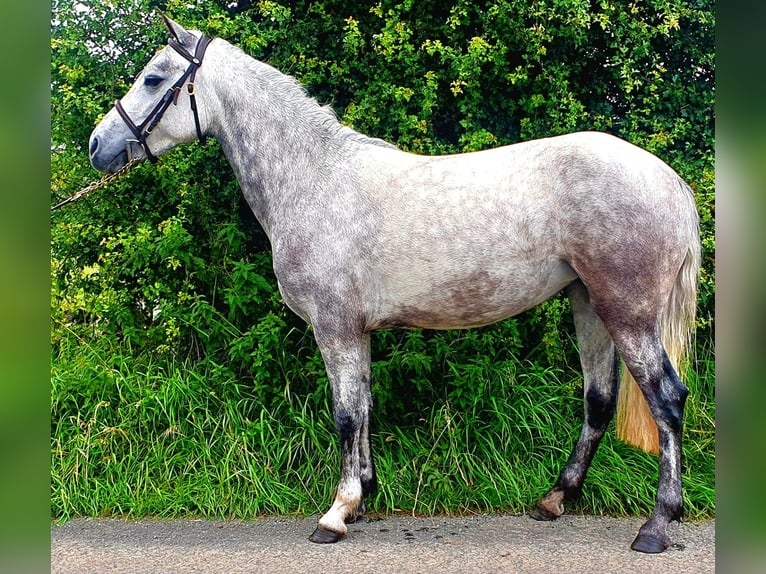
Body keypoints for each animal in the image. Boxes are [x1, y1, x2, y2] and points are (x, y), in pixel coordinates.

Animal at [88, 18, 704, 556]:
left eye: (153, 77)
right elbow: (361, 408)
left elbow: (344, 415)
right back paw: (554, 499)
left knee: (667, 400)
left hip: (627, 313)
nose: (97, 144)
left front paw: (335, 514)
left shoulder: (334, 328)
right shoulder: (354, 332)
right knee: (598, 400)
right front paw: (362, 498)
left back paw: (656, 526)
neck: (316, 179)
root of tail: (668, 179)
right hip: (588, 304)